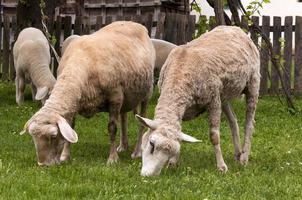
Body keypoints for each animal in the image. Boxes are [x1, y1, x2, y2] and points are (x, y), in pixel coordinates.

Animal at [20, 21, 156, 166]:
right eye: (33, 137)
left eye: (53, 135)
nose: (43, 165)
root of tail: (136, 24)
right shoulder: (75, 102)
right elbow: (71, 127)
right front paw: (65, 156)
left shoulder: (115, 98)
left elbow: (112, 128)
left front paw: (112, 159)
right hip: (127, 97)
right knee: (124, 118)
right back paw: (123, 146)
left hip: (146, 94)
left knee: (142, 122)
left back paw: (137, 152)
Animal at [136, 25, 260, 177]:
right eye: (152, 144)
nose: (148, 176)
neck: (179, 75)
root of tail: (236, 28)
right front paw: (173, 163)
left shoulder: (213, 101)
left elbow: (214, 136)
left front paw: (221, 166)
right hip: (224, 94)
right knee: (233, 120)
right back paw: (238, 153)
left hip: (253, 83)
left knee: (249, 123)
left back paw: (244, 158)